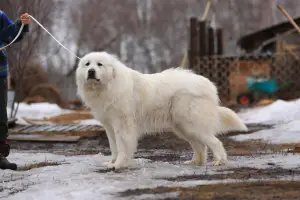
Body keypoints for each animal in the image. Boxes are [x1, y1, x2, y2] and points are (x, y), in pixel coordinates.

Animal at [76, 52, 247, 170]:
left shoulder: (123, 126)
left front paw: (118, 165)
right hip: (183, 127)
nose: (91, 71)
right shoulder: (110, 127)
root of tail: (209, 85)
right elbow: (114, 147)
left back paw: (219, 161)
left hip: (192, 124)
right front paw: (111, 162)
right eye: (87, 64)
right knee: (200, 146)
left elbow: (122, 147)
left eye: (99, 64)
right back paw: (194, 162)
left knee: (215, 142)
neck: (109, 86)